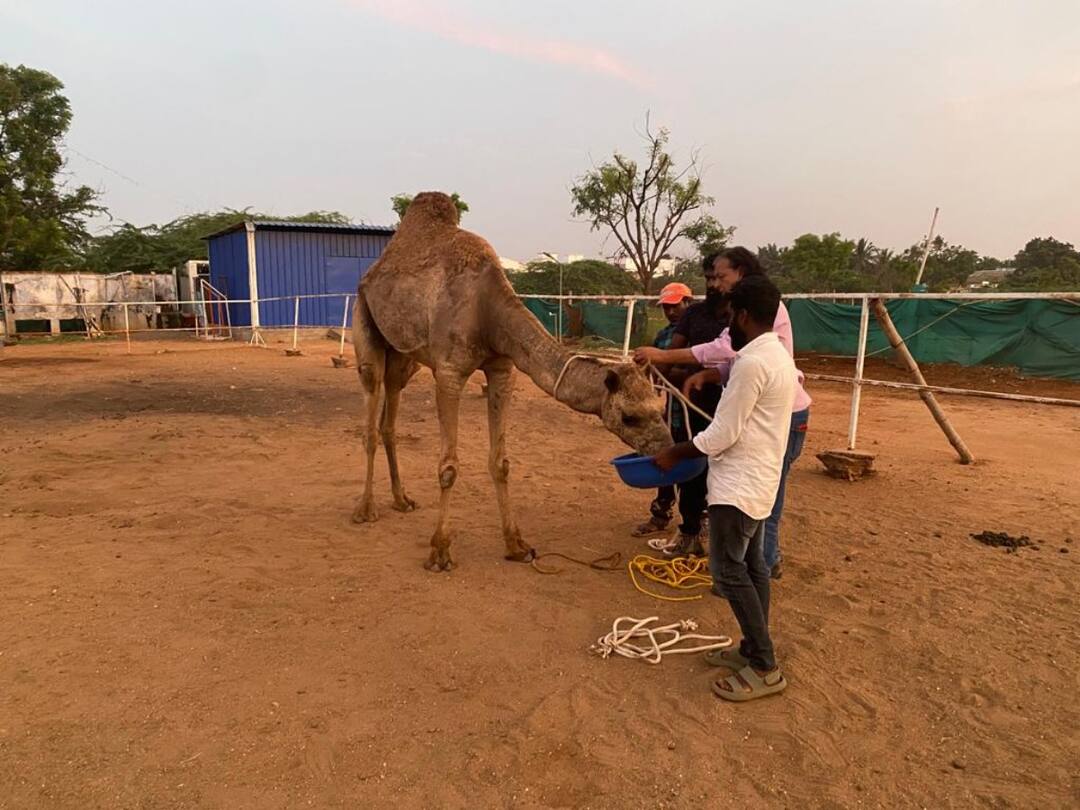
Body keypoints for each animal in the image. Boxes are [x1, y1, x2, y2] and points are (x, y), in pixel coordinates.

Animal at [351, 192, 672, 571]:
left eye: (659, 409)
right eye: (629, 417)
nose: (667, 450)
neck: (486, 308)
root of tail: (373, 272)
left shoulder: (502, 369)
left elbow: (501, 463)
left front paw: (517, 545)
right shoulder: (449, 373)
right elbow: (448, 467)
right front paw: (440, 551)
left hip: (404, 355)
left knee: (389, 416)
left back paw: (402, 500)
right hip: (365, 319)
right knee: (370, 414)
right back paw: (365, 509)